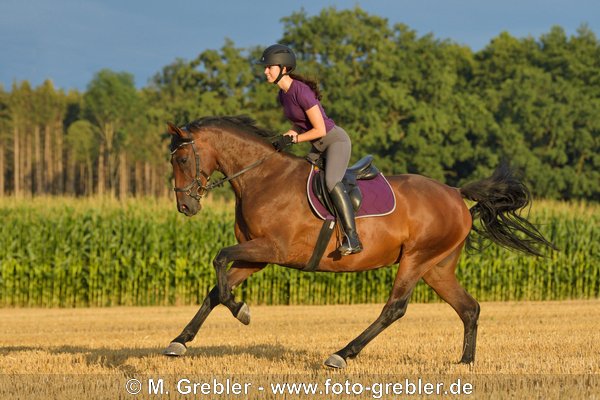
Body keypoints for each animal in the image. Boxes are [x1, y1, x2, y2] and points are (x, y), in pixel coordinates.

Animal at [163, 115, 552, 368]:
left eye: (181, 158)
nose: (185, 207)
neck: (262, 178)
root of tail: (456, 193)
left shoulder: (272, 249)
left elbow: (219, 262)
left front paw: (241, 310)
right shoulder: (256, 257)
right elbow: (216, 289)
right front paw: (179, 341)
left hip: (415, 259)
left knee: (395, 308)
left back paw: (342, 354)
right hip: (436, 267)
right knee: (469, 308)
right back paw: (465, 362)